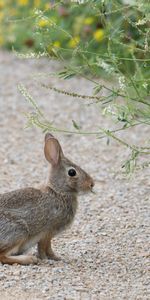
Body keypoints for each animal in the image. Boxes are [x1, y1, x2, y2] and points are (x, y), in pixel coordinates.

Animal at [0, 132, 94, 264]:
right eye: (72, 172)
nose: (91, 184)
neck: (58, 192)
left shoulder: (48, 234)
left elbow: (46, 247)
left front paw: (56, 258)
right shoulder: (47, 232)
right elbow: (45, 248)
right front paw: (50, 259)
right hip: (18, 231)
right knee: (2, 256)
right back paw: (29, 259)